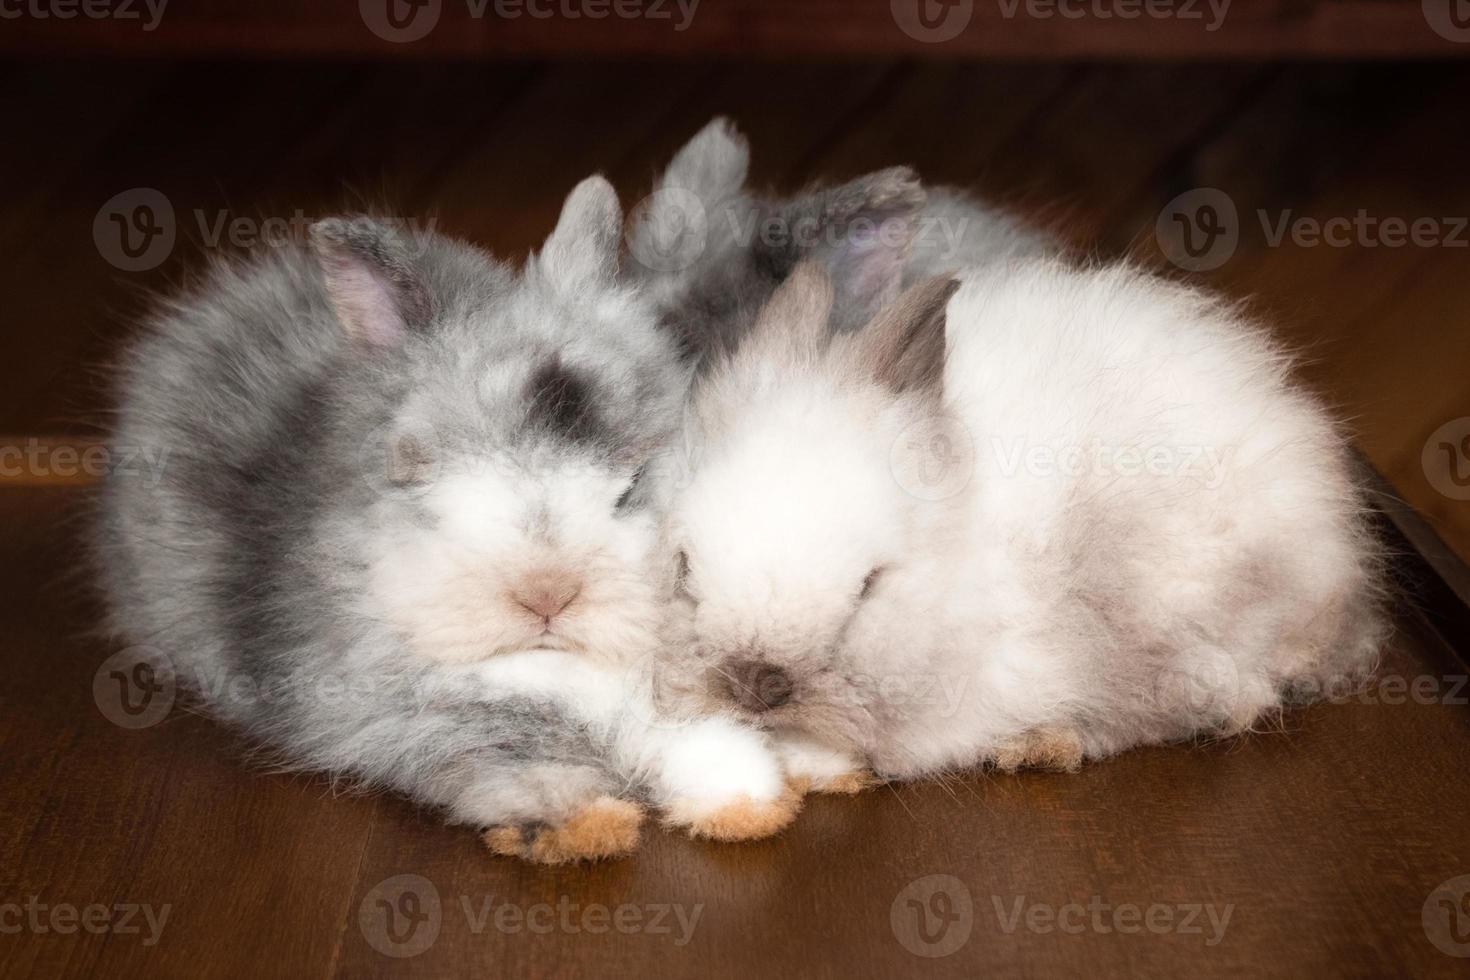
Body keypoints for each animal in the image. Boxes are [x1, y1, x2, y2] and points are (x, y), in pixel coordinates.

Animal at [88, 178, 805, 863]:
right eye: (436, 481)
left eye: (628, 490)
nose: (547, 596)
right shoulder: (393, 712)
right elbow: (502, 743)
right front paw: (582, 823)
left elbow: (678, 727)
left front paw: (747, 800)